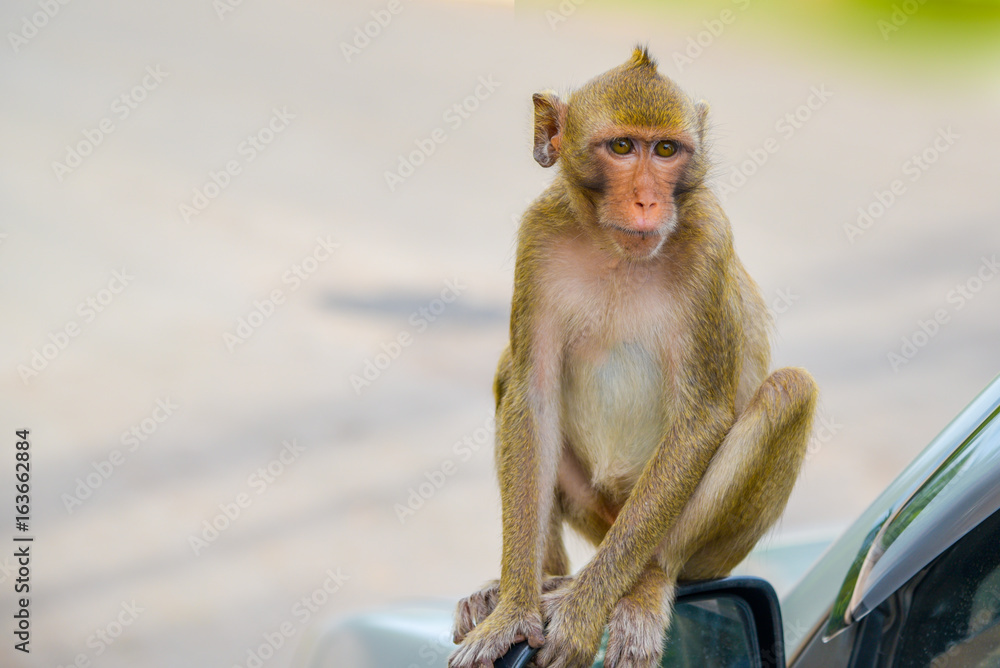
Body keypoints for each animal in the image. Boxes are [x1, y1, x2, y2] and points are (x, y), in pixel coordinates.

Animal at [448, 47, 817, 668]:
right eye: (622, 147)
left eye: (665, 150)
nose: (647, 201)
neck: (614, 250)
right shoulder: (538, 236)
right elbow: (532, 395)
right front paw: (515, 611)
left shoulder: (709, 239)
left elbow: (699, 422)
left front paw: (580, 614)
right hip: (599, 515)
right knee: (507, 374)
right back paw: (544, 578)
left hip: (702, 550)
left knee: (790, 389)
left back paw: (643, 583)